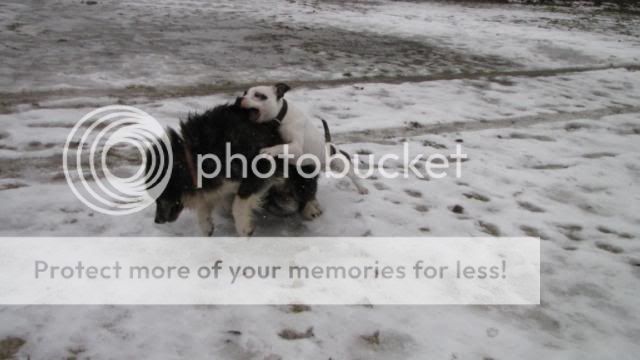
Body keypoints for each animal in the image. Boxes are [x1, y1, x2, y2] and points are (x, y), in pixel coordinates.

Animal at [146, 102, 318, 236]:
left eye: (160, 195)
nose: (157, 220)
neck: (195, 156)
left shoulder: (261, 166)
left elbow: (240, 201)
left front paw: (244, 228)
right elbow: (206, 202)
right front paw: (206, 225)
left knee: (306, 190)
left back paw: (311, 208)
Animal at [236, 82, 370, 214]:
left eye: (259, 95)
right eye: (245, 93)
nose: (240, 99)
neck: (282, 116)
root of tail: (330, 144)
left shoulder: (296, 147)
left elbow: (282, 146)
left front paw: (270, 150)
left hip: (338, 163)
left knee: (352, 175)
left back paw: (362, 188)